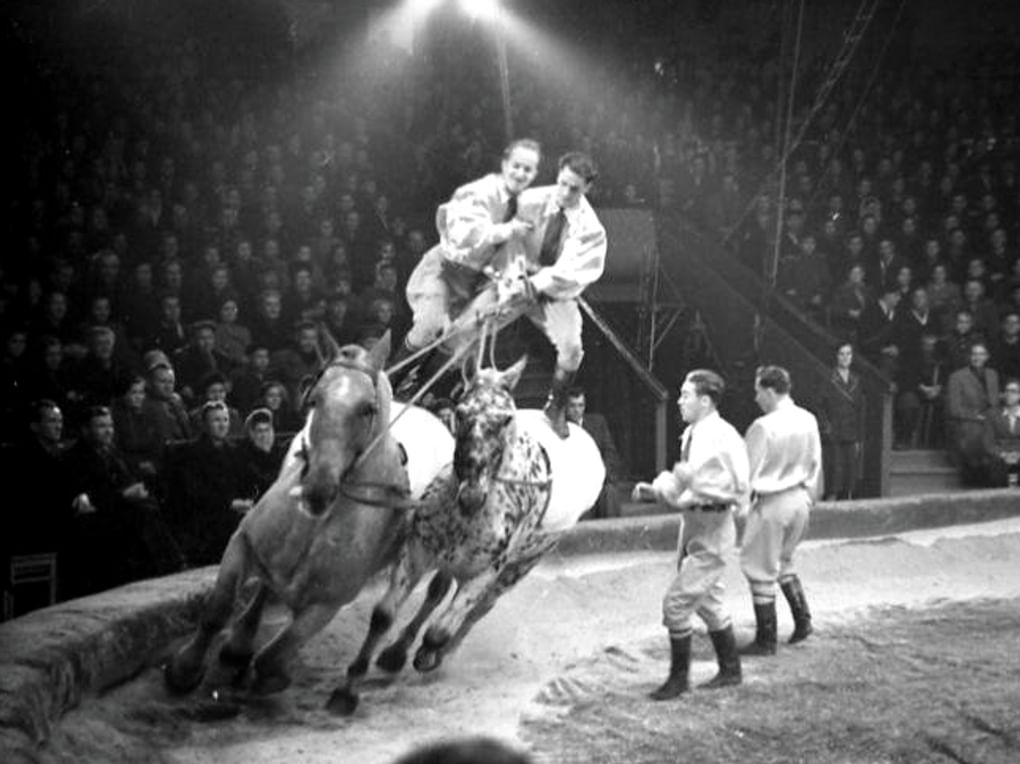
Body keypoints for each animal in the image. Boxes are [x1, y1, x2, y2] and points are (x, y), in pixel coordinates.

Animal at [163, 330, 450, 705]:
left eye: (367, 409)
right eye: (314, 399)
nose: (317, 488)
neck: (317, 525)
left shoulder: (329, 601)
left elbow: (272, 656)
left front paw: (269, 676)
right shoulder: (243, 542)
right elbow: (218, 610)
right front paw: (184, 669)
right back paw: (238, 646)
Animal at [332, 354, 603, 714]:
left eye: (506, 419)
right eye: (461, 412)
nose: (472, 496)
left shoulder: (485, 572)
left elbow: (440, 630)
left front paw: (428, 655)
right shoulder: (417, 551)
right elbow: (383, 615)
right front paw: (348, 689)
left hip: (519, 566)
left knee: (477, 611)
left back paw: (438, 656)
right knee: (437, 593)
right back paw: (396, 653)